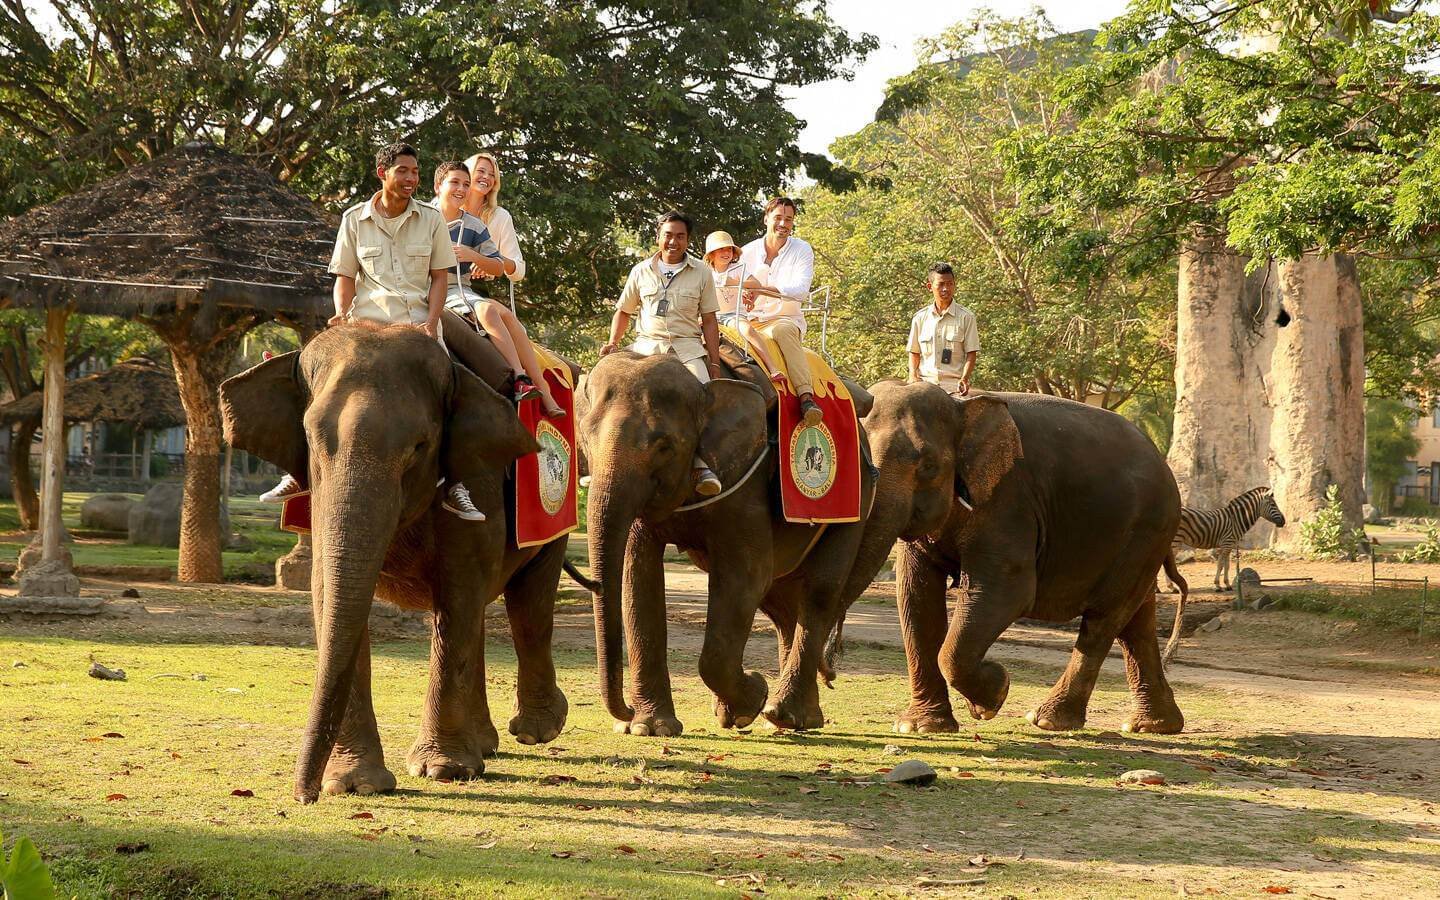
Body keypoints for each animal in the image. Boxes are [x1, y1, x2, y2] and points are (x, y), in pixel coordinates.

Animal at [221, 321, 570, 800]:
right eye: (310, 440)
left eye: (420, 446)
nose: (304, 796)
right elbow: (329, 591)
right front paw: (355, 784)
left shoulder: (478, 480)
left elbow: (458, 593)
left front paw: (442, 770)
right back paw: (485, 746)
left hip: (553, 515)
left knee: (528, 603)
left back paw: (537, 730)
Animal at [576, 347, 875, 734]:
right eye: (585, 437)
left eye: (664, 446)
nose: (623, 712)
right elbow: (638, 578)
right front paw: (649, 728)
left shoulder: (746, 481)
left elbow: (744, 575)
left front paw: (753, 696)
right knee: (781, 602)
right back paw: (781, 718)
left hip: (854, 500)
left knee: (820, 589)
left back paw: (784, 714)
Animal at [840, 383, 1186, 734]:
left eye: (928, 467)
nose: (832, 670)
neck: (959, 404)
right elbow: (916, 596)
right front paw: (921, 727)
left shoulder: (1009, 500)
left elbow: (1007, 592)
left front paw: (993, 694)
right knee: (1135, 618)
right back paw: (1153, 725)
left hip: (1146, 529)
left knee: (1105, 617)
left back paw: (1048, 719)